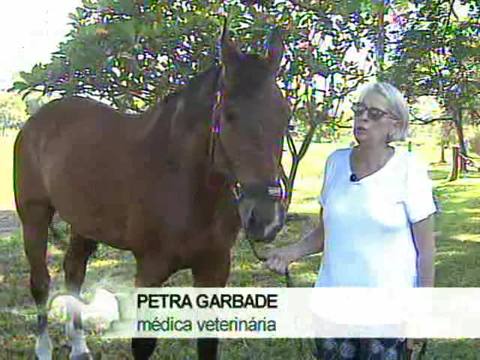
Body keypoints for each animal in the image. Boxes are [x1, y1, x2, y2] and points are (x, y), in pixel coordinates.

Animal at [13, 28, 290, 360]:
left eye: (285, 114)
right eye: (230, 115)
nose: (266, 218)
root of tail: (36, 121)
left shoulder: (214, 269)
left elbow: (208, 343)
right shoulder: (149, 271)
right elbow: (143, 343)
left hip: (83, 225)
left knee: (74, 272)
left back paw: (79, 347)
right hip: (34, 217)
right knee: (41, 282)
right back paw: (44, 348)